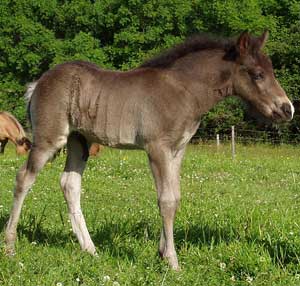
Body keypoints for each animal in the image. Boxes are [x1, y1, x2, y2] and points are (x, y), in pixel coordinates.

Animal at [4, 31, 294, 270]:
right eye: (258, 74)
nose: (287, 109)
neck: (184, 90)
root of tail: (38, 83)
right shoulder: (157, 148)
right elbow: (165, 200)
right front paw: (173, 262)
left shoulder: (178, 150)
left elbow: (175, 197)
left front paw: (162, 253)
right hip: (50, 139)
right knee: (24, 178)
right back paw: (9, 245)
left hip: (79, 141)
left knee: (70, 184)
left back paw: (90, 249)